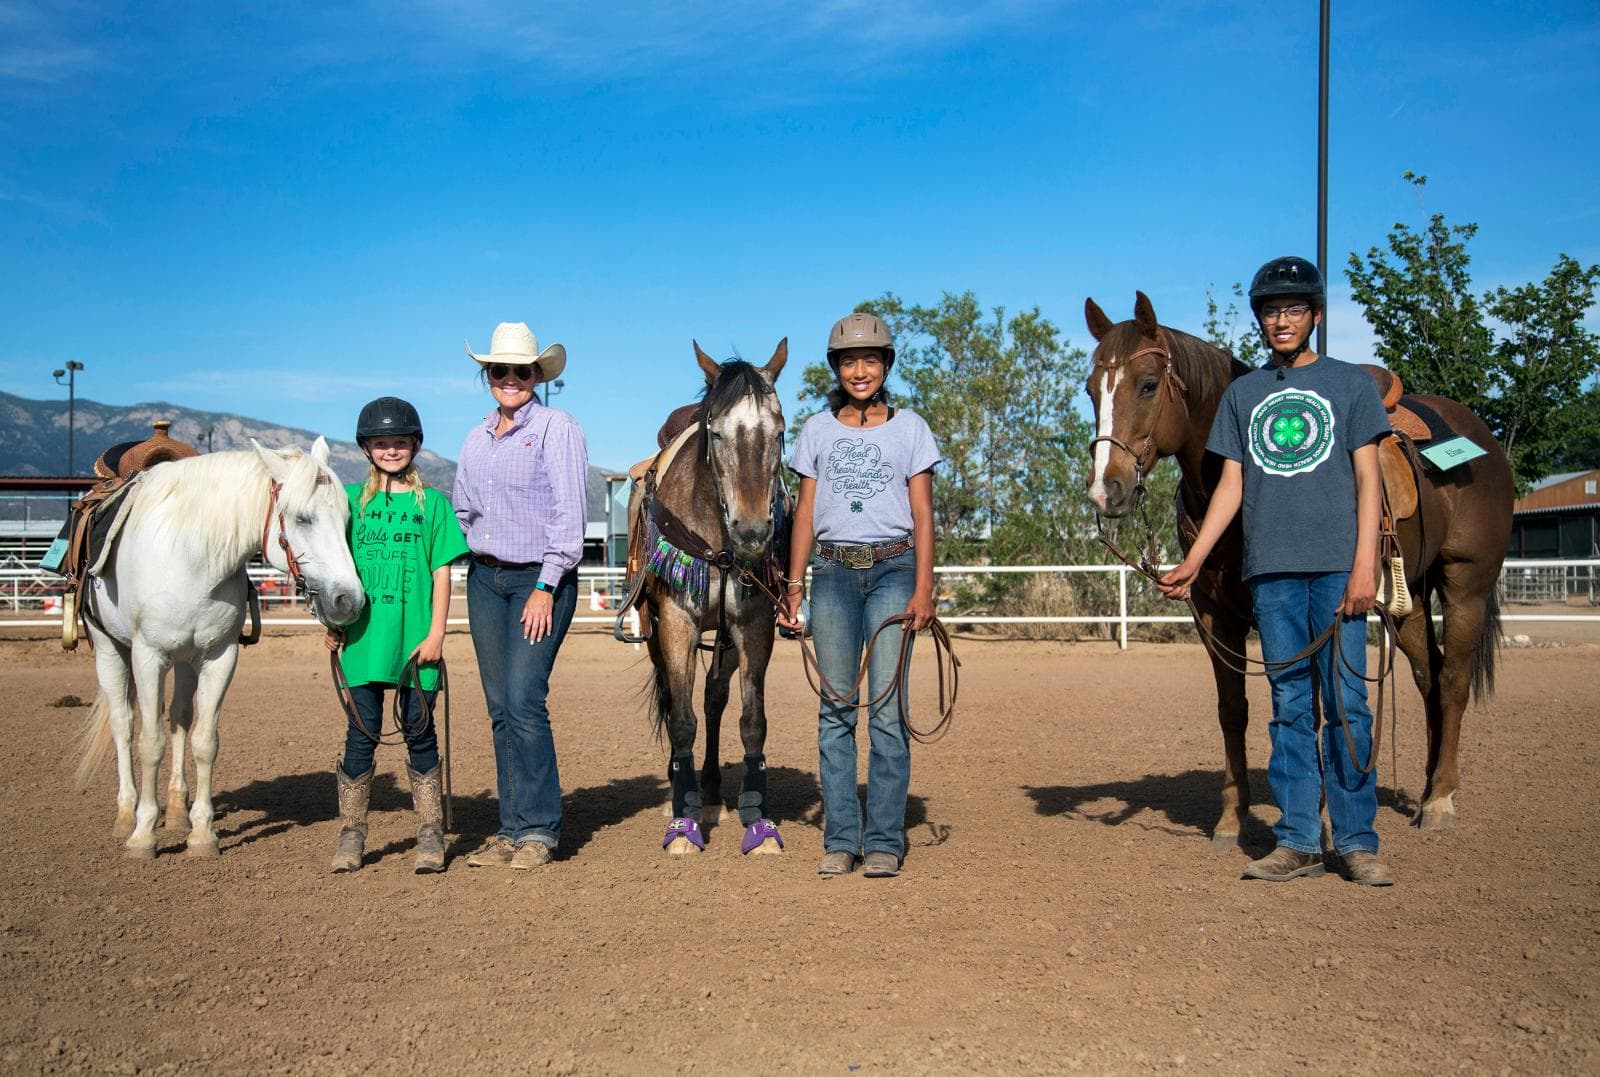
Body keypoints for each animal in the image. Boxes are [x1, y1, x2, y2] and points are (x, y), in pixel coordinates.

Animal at [75, 435, 363, 857]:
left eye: (345, 520)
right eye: (302, 518)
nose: (350, 601)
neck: (192, 558)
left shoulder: (219, 656)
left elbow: (204, 741)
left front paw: (201, 834)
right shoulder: (148, 656)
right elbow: (150, 742)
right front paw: (144, 836)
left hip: (184, 660)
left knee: (179, 718)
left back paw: (177, 811)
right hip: (110, 647)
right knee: (123, 725)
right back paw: (127, 815)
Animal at [630, 340, 793, 851]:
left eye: (779, 433)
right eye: (716, 433)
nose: (753, 531)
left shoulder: (753, 626)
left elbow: (752, 721)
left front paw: (757, 818)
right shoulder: (676, 622)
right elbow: (682, 720)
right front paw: (683, 823)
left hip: (724, 638)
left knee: (714, 698)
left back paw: (713, 786)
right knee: (675, 699)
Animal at [1088, 294, 1510, 851]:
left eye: (1149, 384)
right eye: (1091, 389)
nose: (1105, 489)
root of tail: (1481, 437)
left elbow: (1313, 705)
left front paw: (1320, 817)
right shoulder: (1215, 615)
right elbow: (1233, 710)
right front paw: (1231, 820)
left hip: (1466, 583)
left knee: (1455, 678)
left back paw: (1440, 800)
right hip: (1409, 598)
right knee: (1429, 678)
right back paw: (1425, 791)